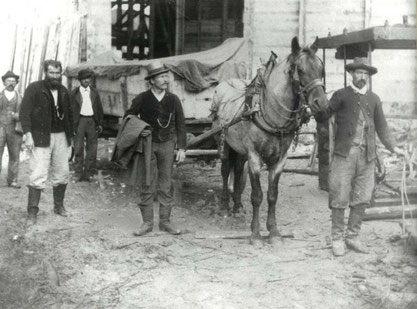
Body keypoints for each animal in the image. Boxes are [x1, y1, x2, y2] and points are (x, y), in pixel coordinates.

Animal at [213, 36, 326, 244]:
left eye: (321, 69)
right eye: (300, 69)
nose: (321, 104)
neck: (268, 111)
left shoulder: (280, 159)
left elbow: (272, 195)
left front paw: (273, 231)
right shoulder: (255, 157)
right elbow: (257, 195)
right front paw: (256, 234)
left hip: (240, 150)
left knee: (238, 170)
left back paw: (237, 206)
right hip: (223, 143)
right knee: (225, 171)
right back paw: (225, 204)